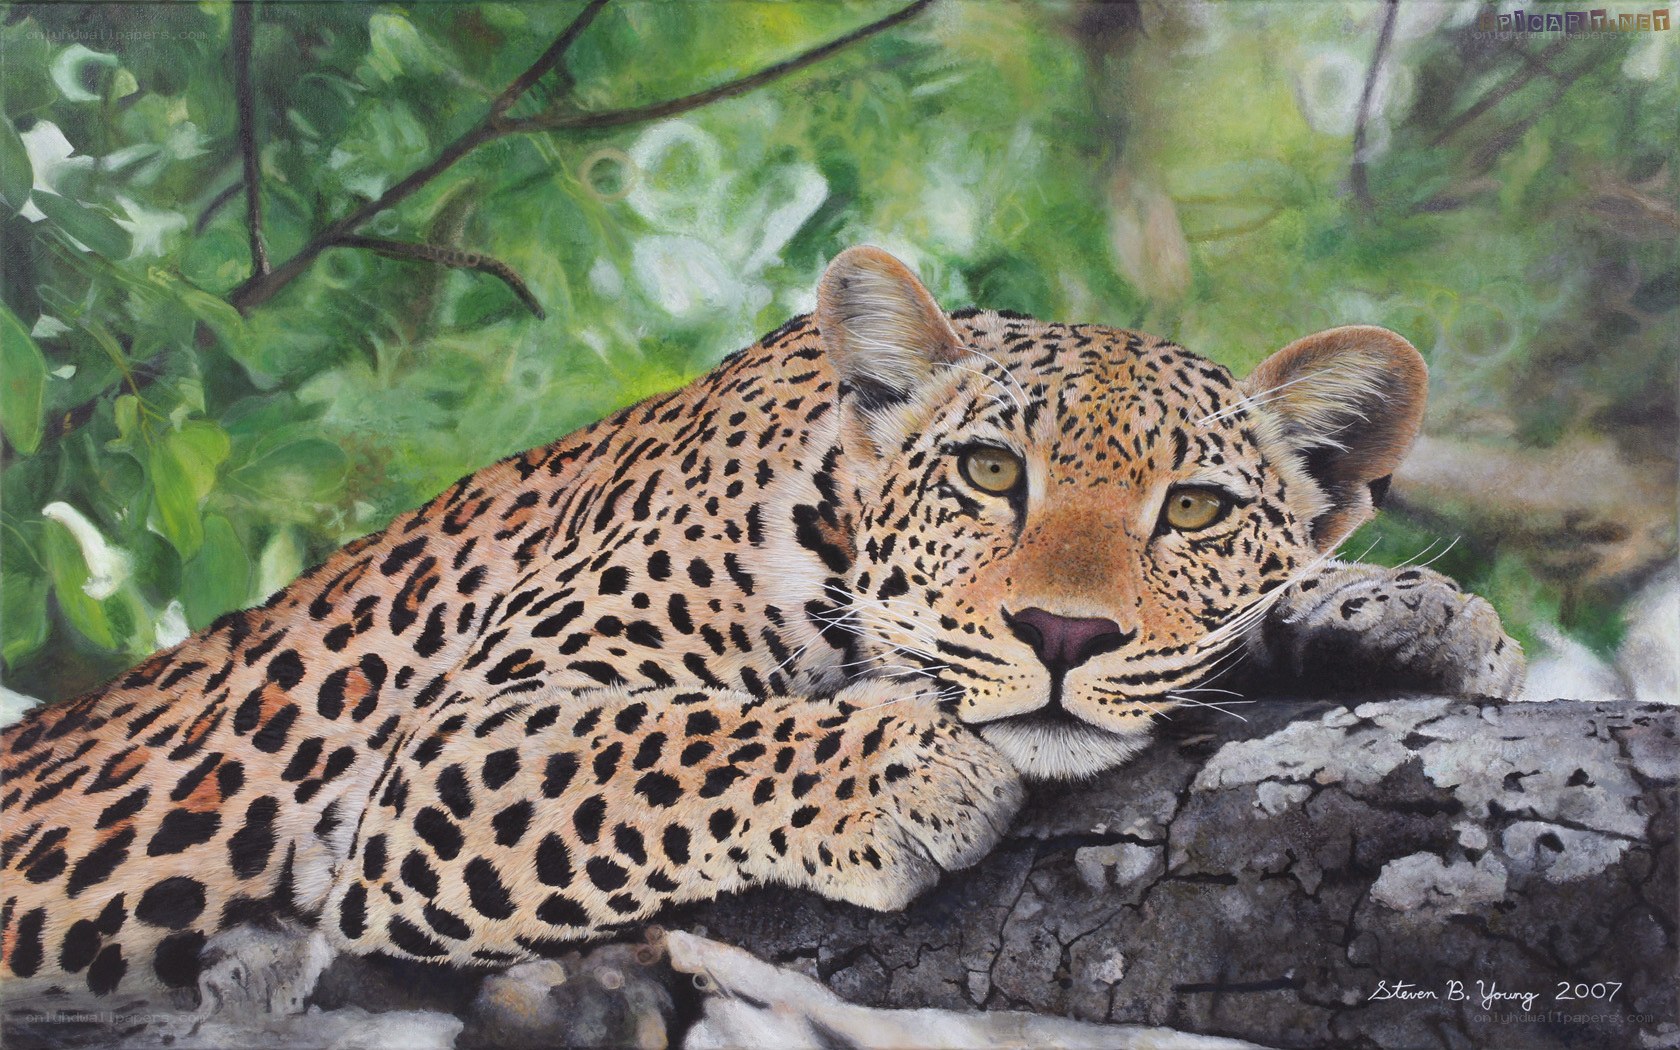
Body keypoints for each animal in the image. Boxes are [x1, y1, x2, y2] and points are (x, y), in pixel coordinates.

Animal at [0, 246, 1522, 1004]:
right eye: (989, 475)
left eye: (1195, 509)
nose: (1062, 636)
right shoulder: (461, 739)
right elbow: (679, 739)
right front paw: (908, 768)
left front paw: (1404, 607)